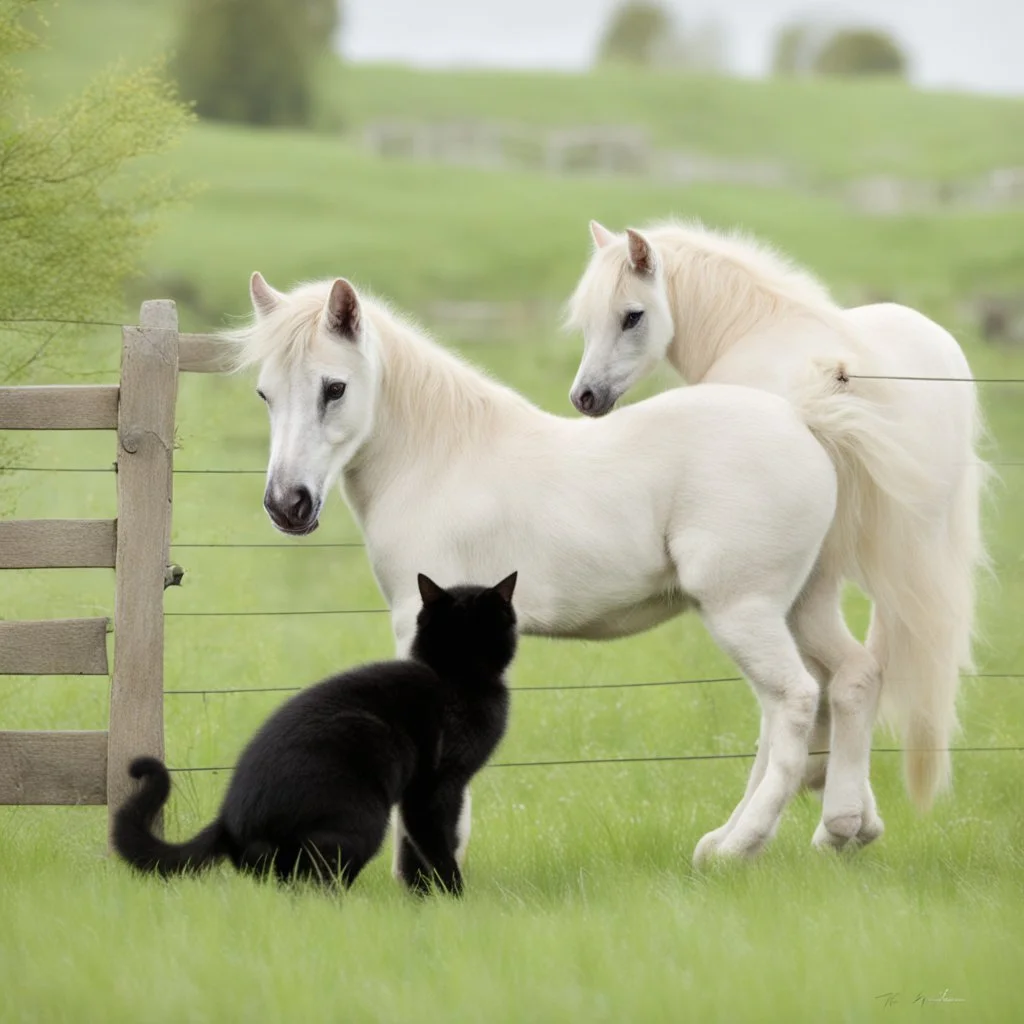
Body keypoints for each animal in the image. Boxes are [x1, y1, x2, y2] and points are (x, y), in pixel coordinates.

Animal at [113, 573, 520, 892]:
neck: (455, 674)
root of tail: (228, 820)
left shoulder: (431, 792)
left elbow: (416, 848)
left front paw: (422, 898)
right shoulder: (433, 787)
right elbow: (437, 845)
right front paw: (453, 897)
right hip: (362, 814)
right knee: (321, 884)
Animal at [234, 270, 913, 864]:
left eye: (335, 388)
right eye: (264, 393)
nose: (288, 504)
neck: (440, 458)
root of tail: (802, 421)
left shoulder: (416, 621)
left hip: (742, 609)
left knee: (794, 701)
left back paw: (738, 849)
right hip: (799, 605)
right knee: (846, 682)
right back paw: (838, 828)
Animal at [565, 220, 987, 851]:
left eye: (632, 316)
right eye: (589, 319)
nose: (585, 398)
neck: (751, 326)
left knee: (818, 684)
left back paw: (795, 821)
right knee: (863, 666)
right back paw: (846, 817)